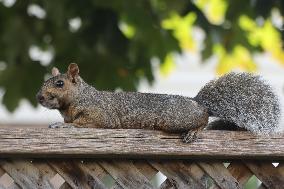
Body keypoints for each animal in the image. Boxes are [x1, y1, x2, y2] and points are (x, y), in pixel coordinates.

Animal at [36, 62, 280, 142]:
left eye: (59, 83)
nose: (39, 96)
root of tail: (197, 102)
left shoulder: (101, 115)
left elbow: (83, 123)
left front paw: (62, 126)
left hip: (173, 119)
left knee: (202, 119)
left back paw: (195, 131)